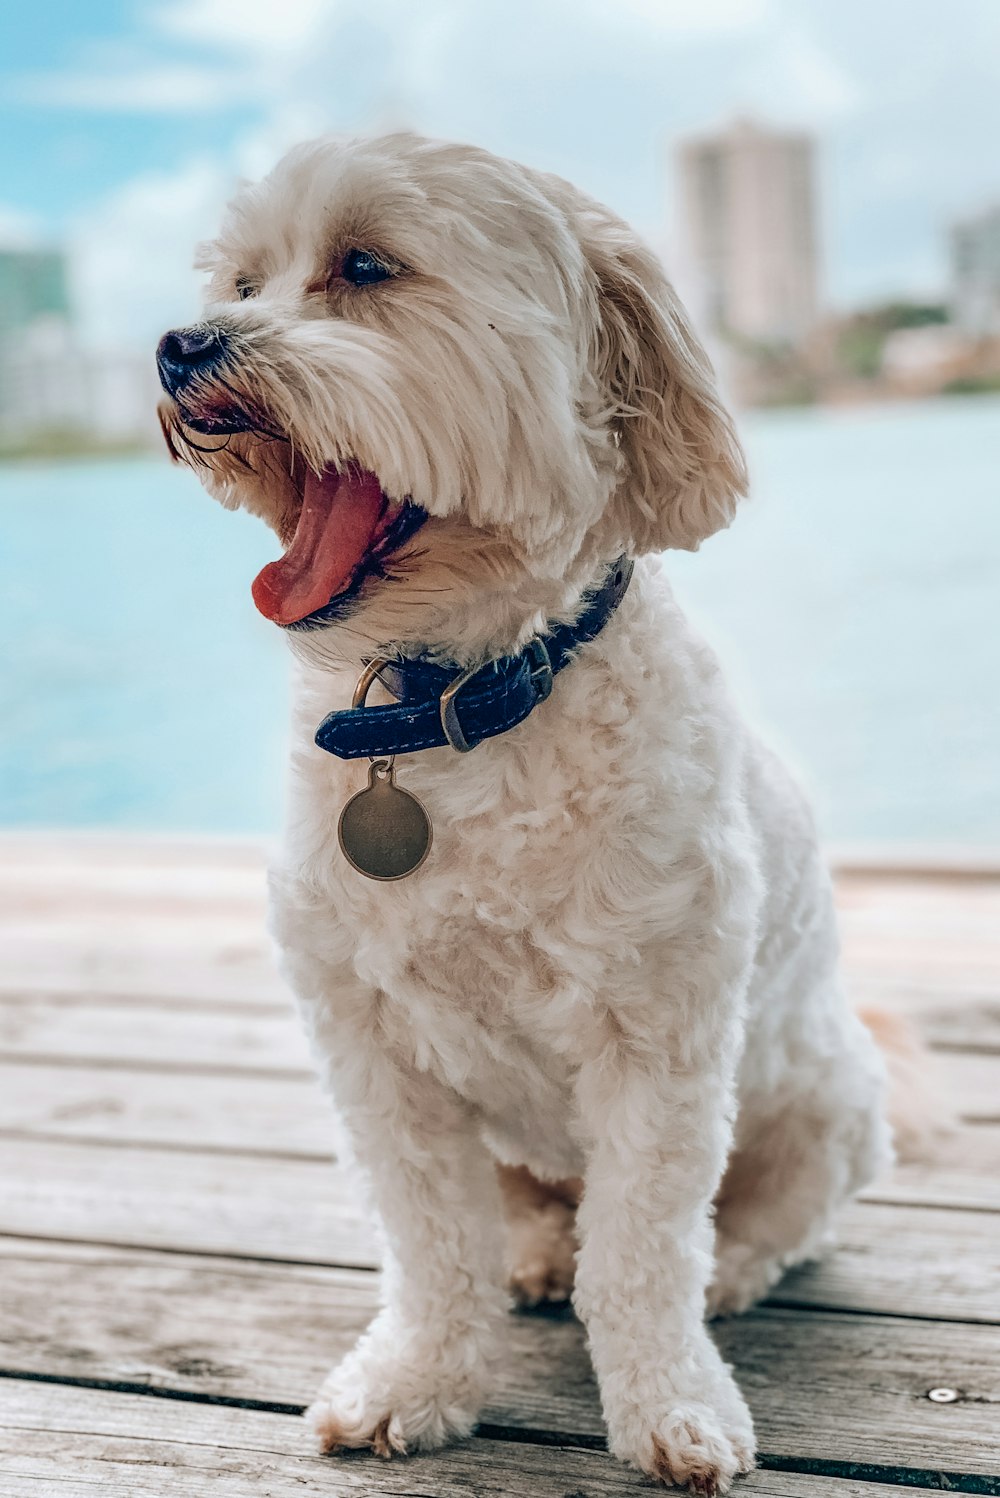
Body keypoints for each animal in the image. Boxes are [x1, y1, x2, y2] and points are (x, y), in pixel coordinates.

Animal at [156, 134, 892, 1492]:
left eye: (365, 267)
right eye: (238, 282)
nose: (182, 344)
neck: (453, 702)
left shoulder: (658, 1043)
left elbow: (646, 1247)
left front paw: (670, 1404)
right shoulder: (372, 1050)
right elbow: (433, 1243)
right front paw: (417, 1378)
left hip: (826, 1097)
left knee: (760, 1221)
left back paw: (726, 1273)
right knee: (534, 1222)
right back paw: (542, 1256)